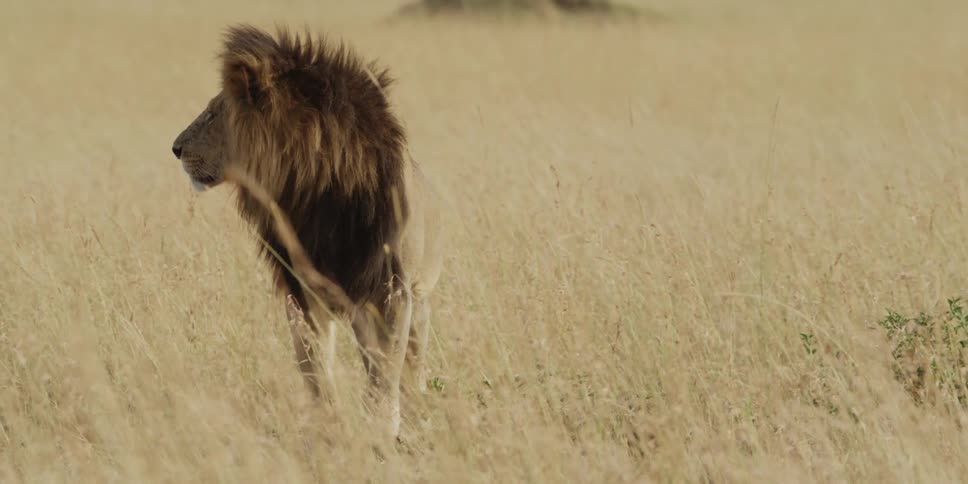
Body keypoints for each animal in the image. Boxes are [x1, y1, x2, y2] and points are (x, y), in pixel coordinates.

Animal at [170, 24, 445, 436]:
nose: (176, 148)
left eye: (214, 112)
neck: (316, 192)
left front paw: (382, 426)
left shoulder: (392, 289)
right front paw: (326, 422)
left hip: (417, 298)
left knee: (410, 362)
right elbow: (313, 365)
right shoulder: (300, 289)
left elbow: (386, 368)